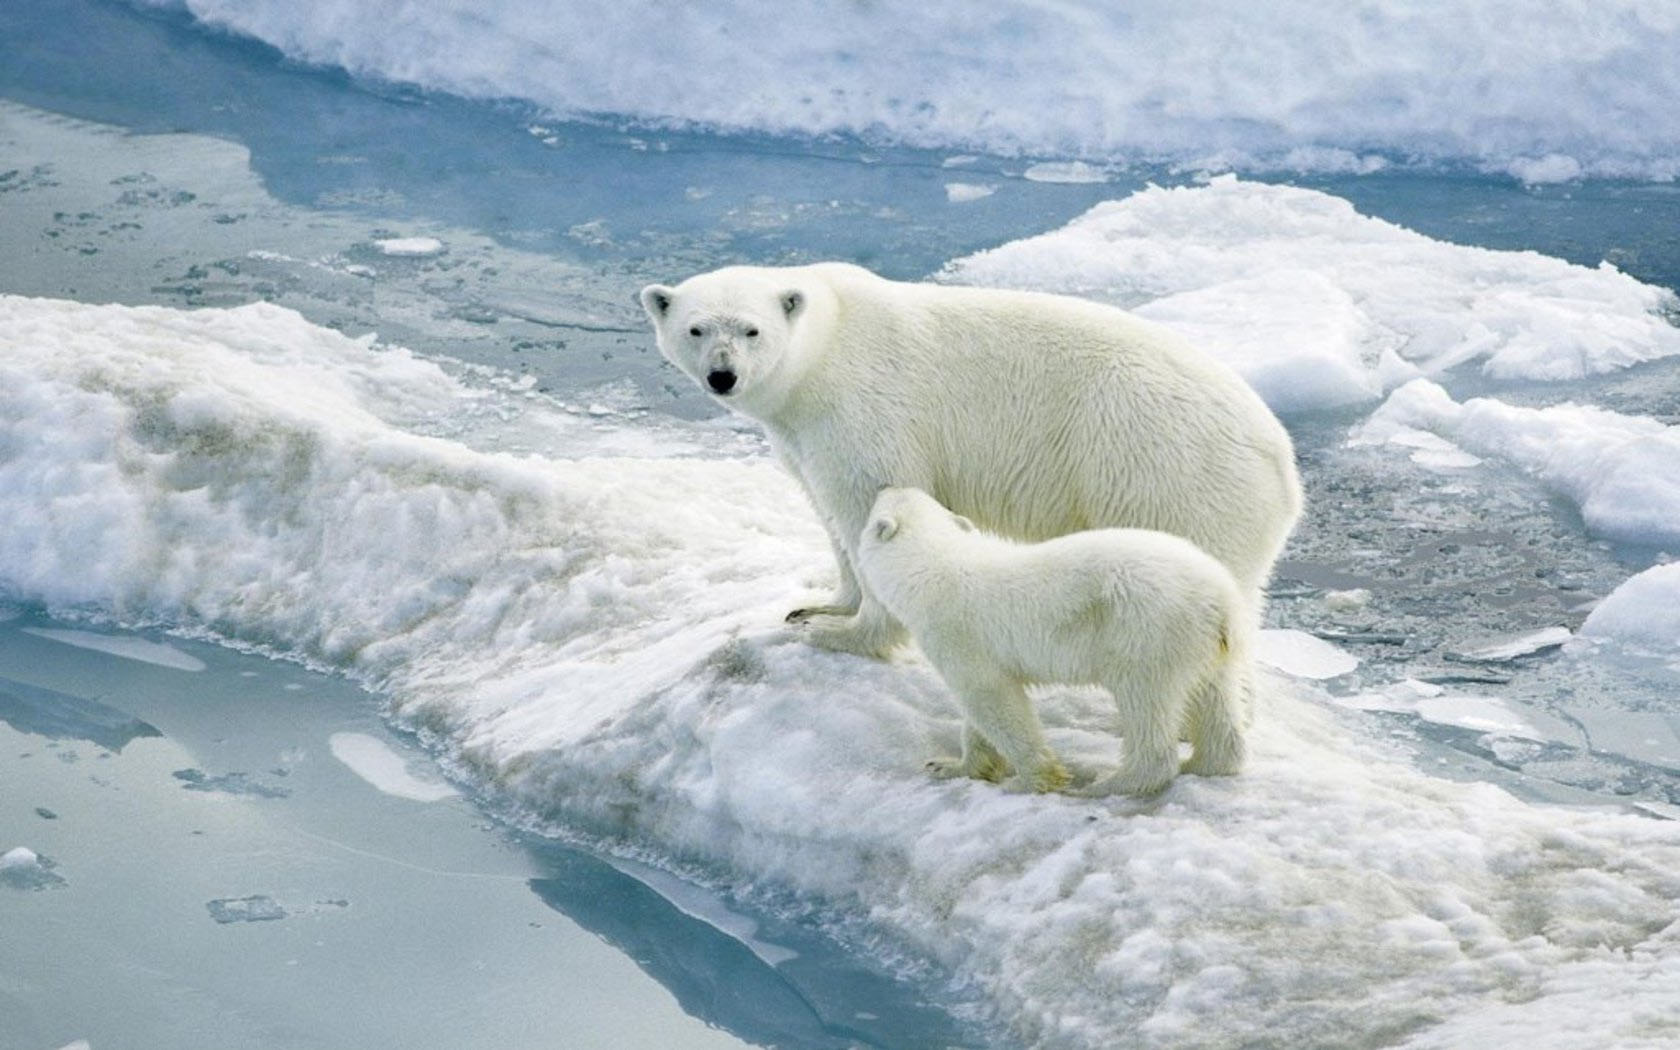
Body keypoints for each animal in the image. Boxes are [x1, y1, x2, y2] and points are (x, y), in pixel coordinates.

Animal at [641, 260, 1296, 655]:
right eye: (697, 329)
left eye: (751, 330)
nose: (722, 376)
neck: (825, 350)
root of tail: (1283, 464)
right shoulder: (801, 434)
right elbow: (826, 510)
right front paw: (817, 606)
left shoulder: (865, 409)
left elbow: (868, 502)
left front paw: (844, 633)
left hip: (1167, 473)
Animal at [860, 483, 1243, 792]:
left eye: (880, 503)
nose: (885, 483)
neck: (934, 567)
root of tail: (1220, 597)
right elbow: (980, 715)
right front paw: (949, 765)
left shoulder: (958, 634)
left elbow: (993, 700)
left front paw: (1034, 779)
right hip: (1205, 644)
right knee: (1213, 697)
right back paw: (1205, 762)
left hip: (1146, 630)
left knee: (1144, 700)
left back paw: (1112, 783)